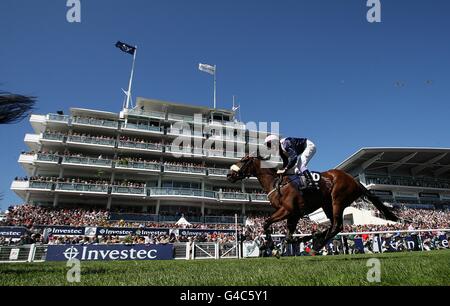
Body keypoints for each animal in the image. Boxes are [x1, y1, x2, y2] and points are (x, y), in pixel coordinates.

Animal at [227, 155, 400, 251]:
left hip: (337, 200)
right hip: (327, 204)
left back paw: (317, 245)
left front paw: (270, 244)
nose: (229, 175)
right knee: (334, 226)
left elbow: (266, 223)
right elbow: (288, 236)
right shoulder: (294, 214)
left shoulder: (287, 210)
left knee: (337, 225)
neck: (276, 184)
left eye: (243, 160)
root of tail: (355, 181)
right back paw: (317, 237)